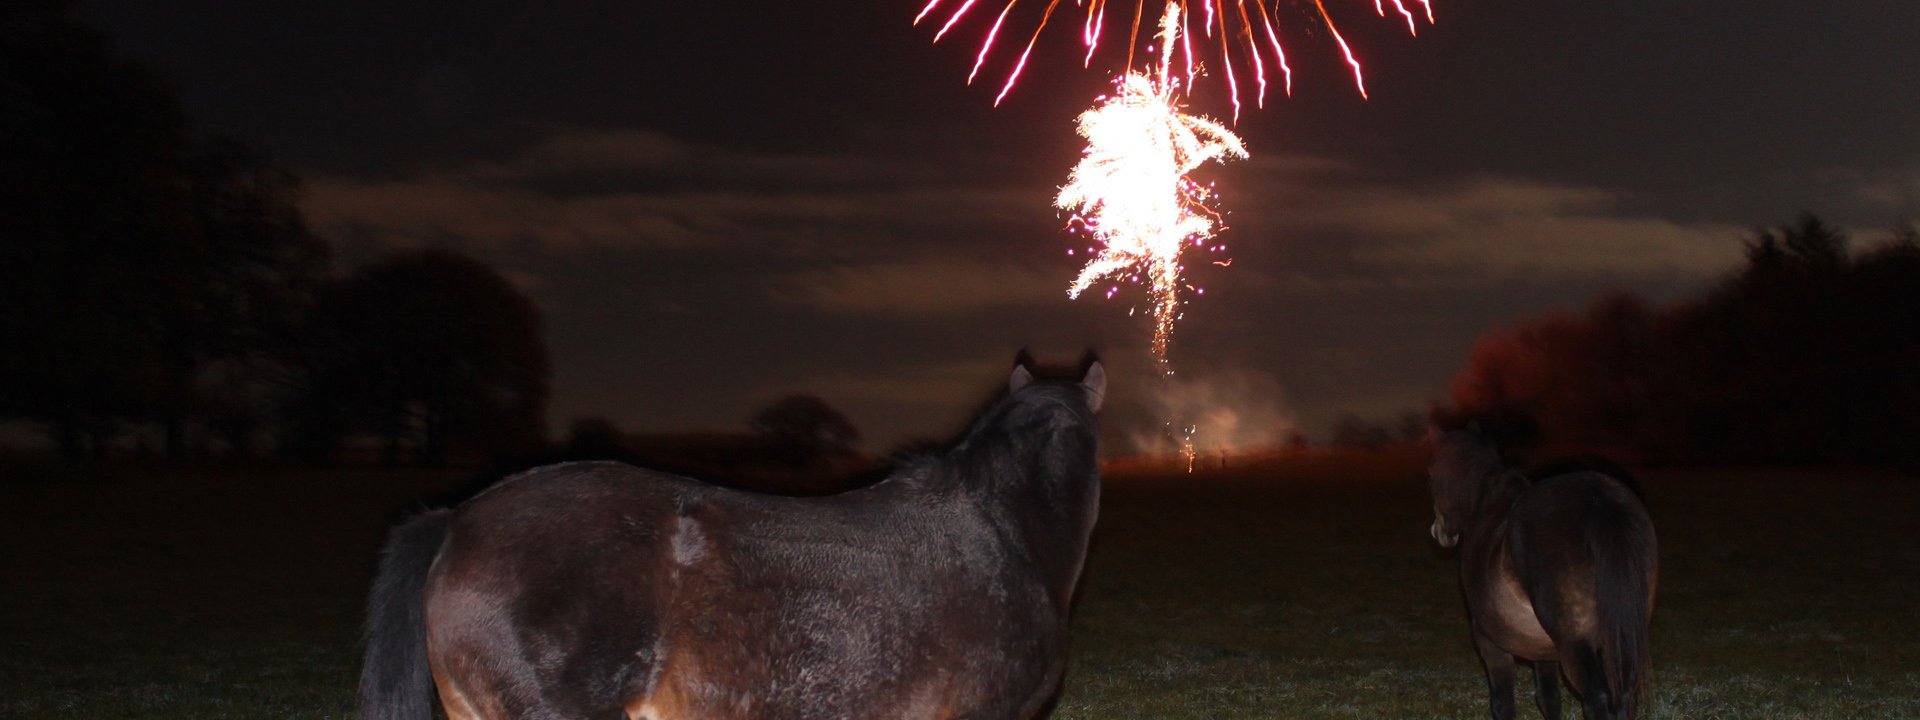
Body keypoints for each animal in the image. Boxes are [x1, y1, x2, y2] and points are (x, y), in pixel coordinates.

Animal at [1427, 426, 1658, 720]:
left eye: (1433, 473)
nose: (1440, 532)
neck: (1487, 506)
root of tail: (1599, 501)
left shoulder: (1491, 646)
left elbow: (1503, 703)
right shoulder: (1543, 651)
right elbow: (1549, 699)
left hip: (1575, 647)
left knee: (1597, 697)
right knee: (1625, 695)